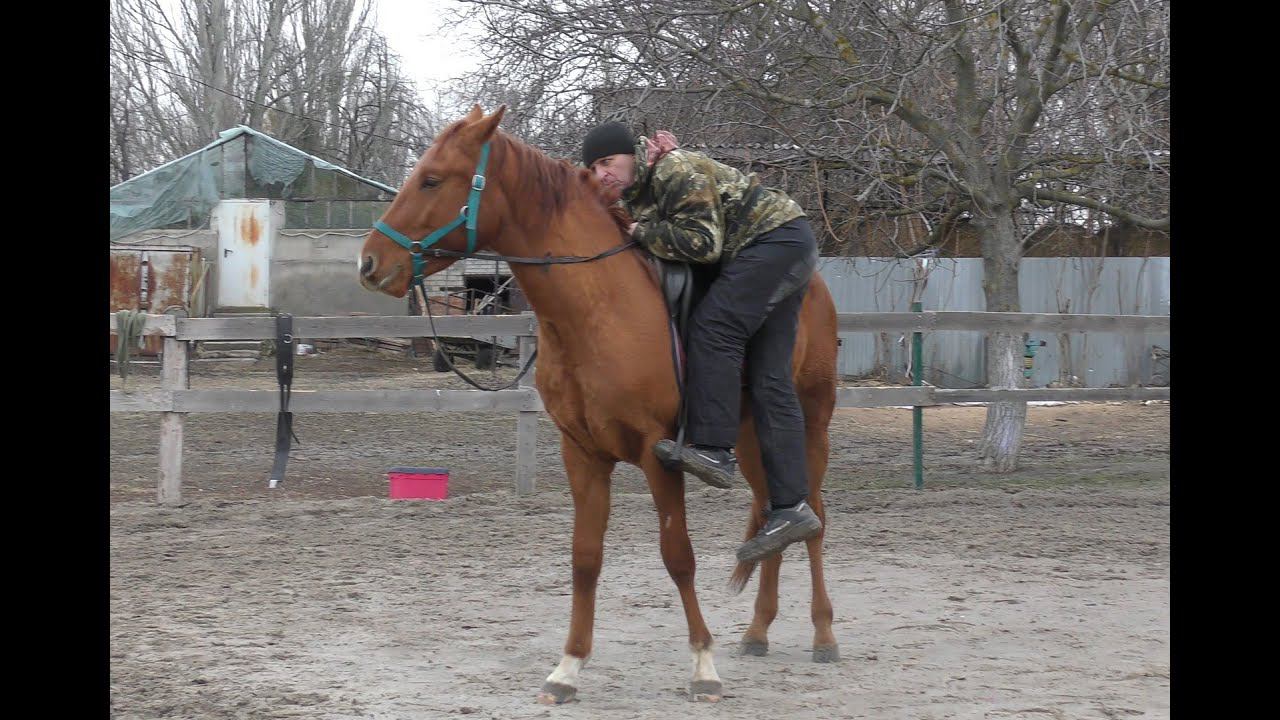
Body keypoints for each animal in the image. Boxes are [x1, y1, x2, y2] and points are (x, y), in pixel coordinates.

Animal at [359, 105, 840, 703]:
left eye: (431, 179)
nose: (370, 262)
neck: (598, 307)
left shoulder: (661, 457)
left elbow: (678, 556)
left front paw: (702, 666)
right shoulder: (582, 455)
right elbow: (585, 559)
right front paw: (567, 668)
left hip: (810, 427)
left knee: (811, 516)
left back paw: (824, 634)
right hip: (753, 439)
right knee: (777, 511)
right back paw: (758, 630)